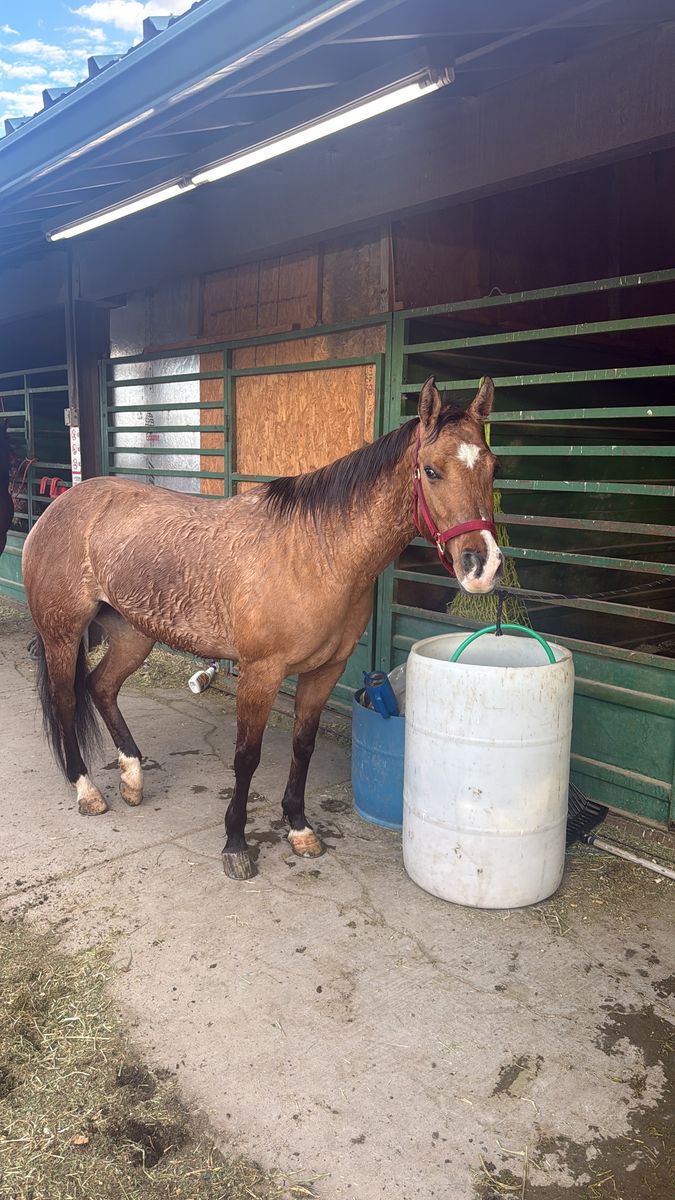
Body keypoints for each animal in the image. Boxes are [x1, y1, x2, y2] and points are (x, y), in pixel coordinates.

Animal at [23, 376, 502, 880]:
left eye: (493, 467)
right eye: (431, 470)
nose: (483, 566)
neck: (317, 552)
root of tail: (60, 506)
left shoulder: (325, 672)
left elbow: (303, 746)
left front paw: (299, 827)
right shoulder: (260, 673)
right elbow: (246, 757)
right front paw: (236, 843)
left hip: (134, 634)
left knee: (102, 687)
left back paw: (132, 776)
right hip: (62, 635)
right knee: (66, 699)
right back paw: (87, 790)